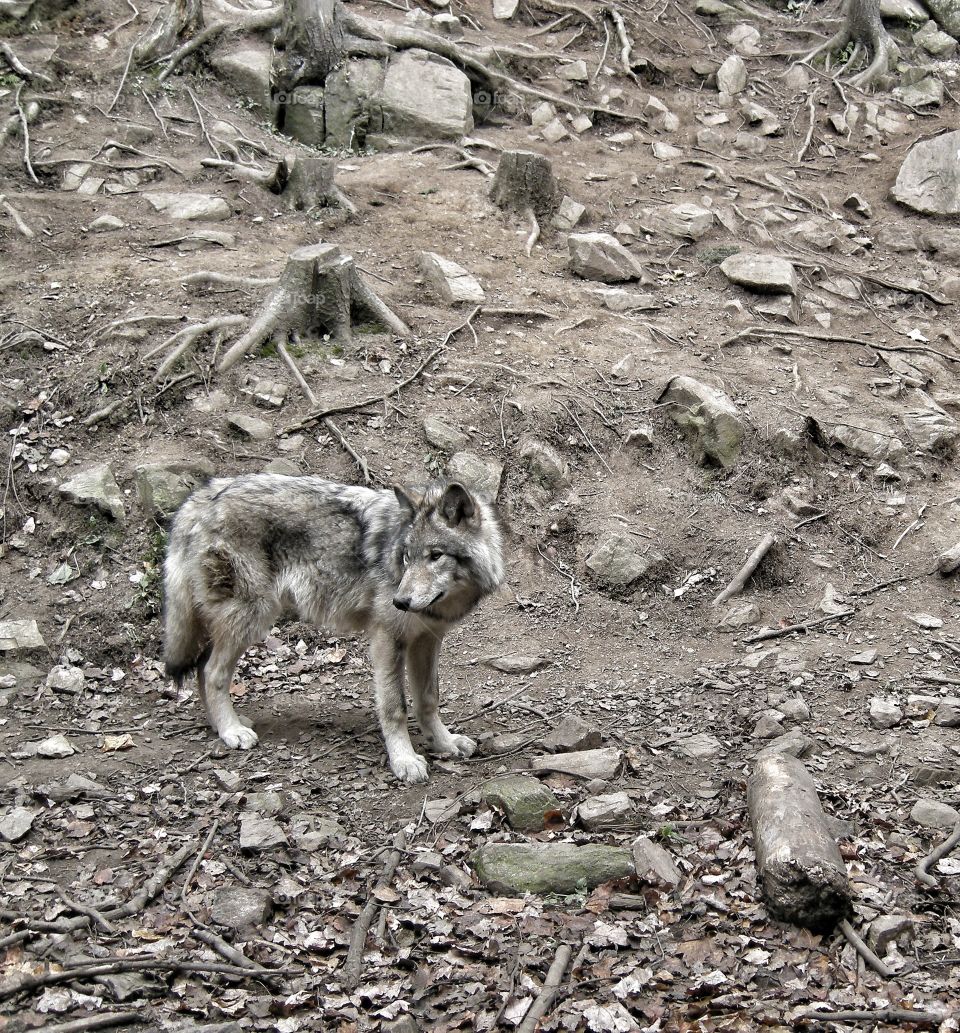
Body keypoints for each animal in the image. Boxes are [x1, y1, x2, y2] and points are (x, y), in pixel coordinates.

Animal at [162, 474, 505, 783]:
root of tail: (203, 496)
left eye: (435, 556)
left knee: (202, 667)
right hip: (253, 617)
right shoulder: (387, 638)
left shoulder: (427, 639)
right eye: (407, 558)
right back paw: (231, 731)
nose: (400, 601)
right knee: (212, 672)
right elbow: (395, 707)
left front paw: (444, 743)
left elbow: (428, 699)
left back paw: (222, 726)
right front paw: (404, 760)